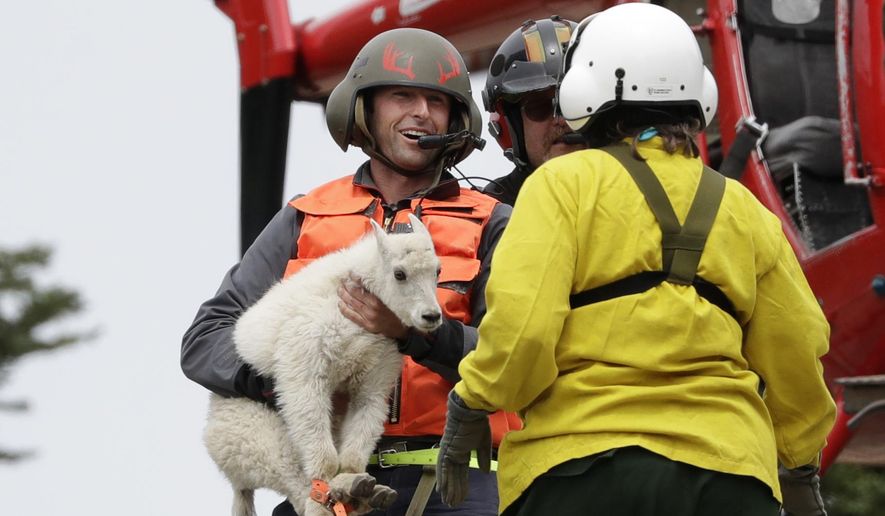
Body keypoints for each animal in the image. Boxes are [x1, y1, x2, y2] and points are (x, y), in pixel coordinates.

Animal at [204, 214, 443, 516]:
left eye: (437, 271)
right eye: (399, 273)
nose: (432, 316)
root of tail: (236, 481)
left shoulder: (374, 380)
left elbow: (358, 440)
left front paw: (354, 481)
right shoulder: (305, 367)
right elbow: (321, 447)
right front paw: (335, 485)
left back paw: (364, 493)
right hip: (256, 433)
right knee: (297, 483)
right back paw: (332, 497)